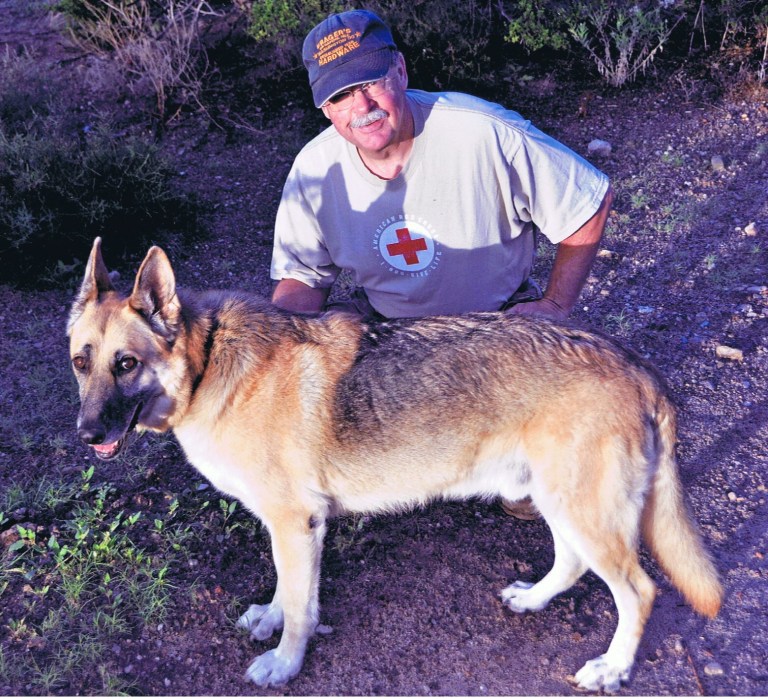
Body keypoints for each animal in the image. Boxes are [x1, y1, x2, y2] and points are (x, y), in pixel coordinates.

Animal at [67, 238, 722, 692]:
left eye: (126, 364)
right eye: (81, 361)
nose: (86, 434)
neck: (207, 365)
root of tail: (635, 367)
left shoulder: (296, 525)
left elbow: (301, 609)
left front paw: (284, 663)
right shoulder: (293, 530)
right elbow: (289, 591)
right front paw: (272, 619)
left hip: (584, 513)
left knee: (638, 591)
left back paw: (611, 669)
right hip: (558, 504)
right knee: (572, 563)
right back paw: (533, 600)